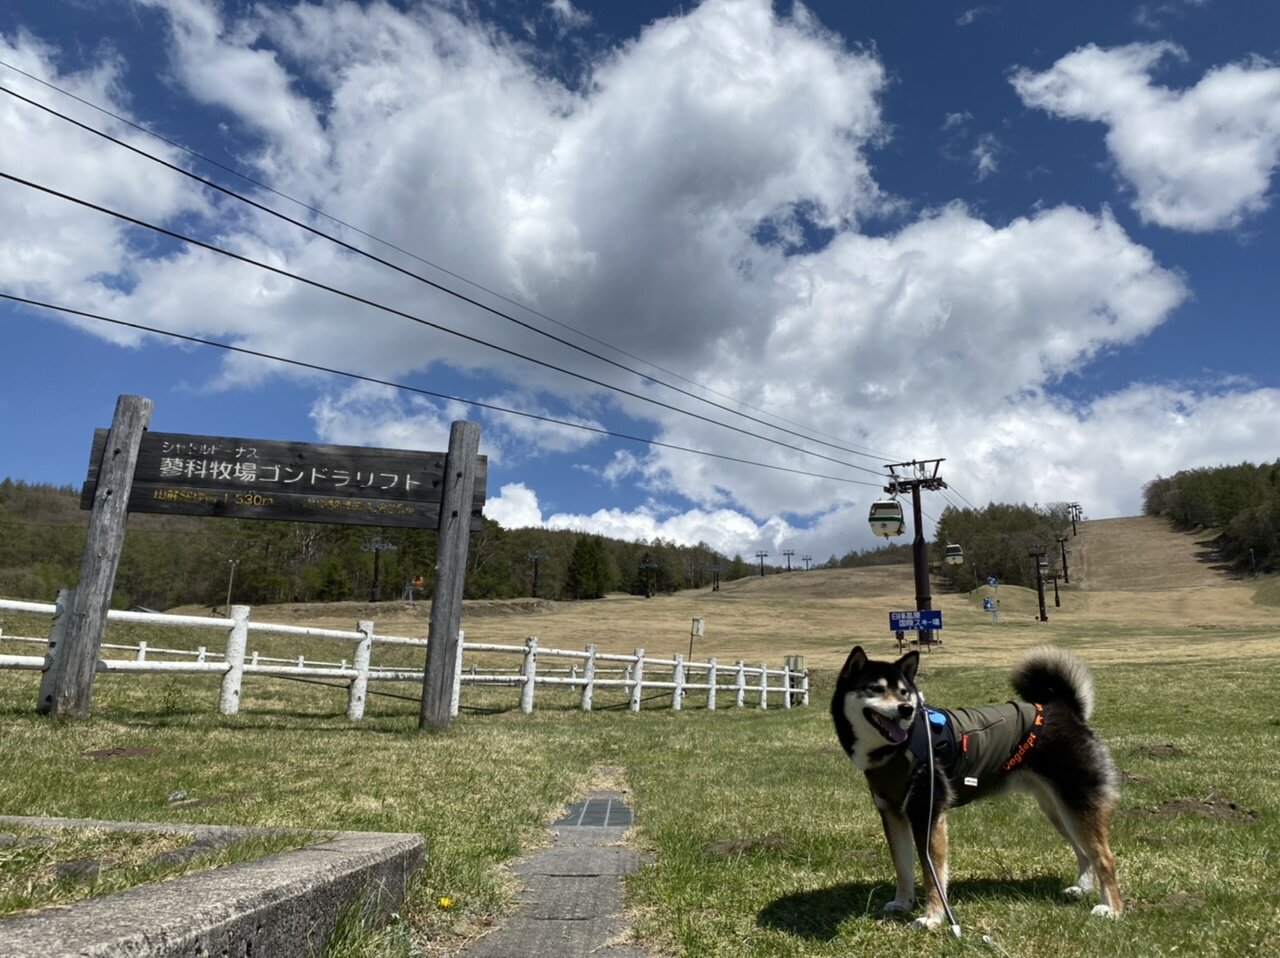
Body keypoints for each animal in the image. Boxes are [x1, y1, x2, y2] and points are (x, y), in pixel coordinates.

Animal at [829, 642, 1121, 927]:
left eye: (904, 692)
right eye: (876, 689)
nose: (906, 709)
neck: (898, 747)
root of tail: (1064, 708)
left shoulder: (928, 811)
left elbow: (931, 873)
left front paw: (933, 917)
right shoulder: (892, 812)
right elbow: (902, 865)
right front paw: (902, 903)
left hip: (1076, 803)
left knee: (1104, 857)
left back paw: (1112, 909)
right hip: (1057, 809)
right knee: (1084, 852)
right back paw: (1081, 888)